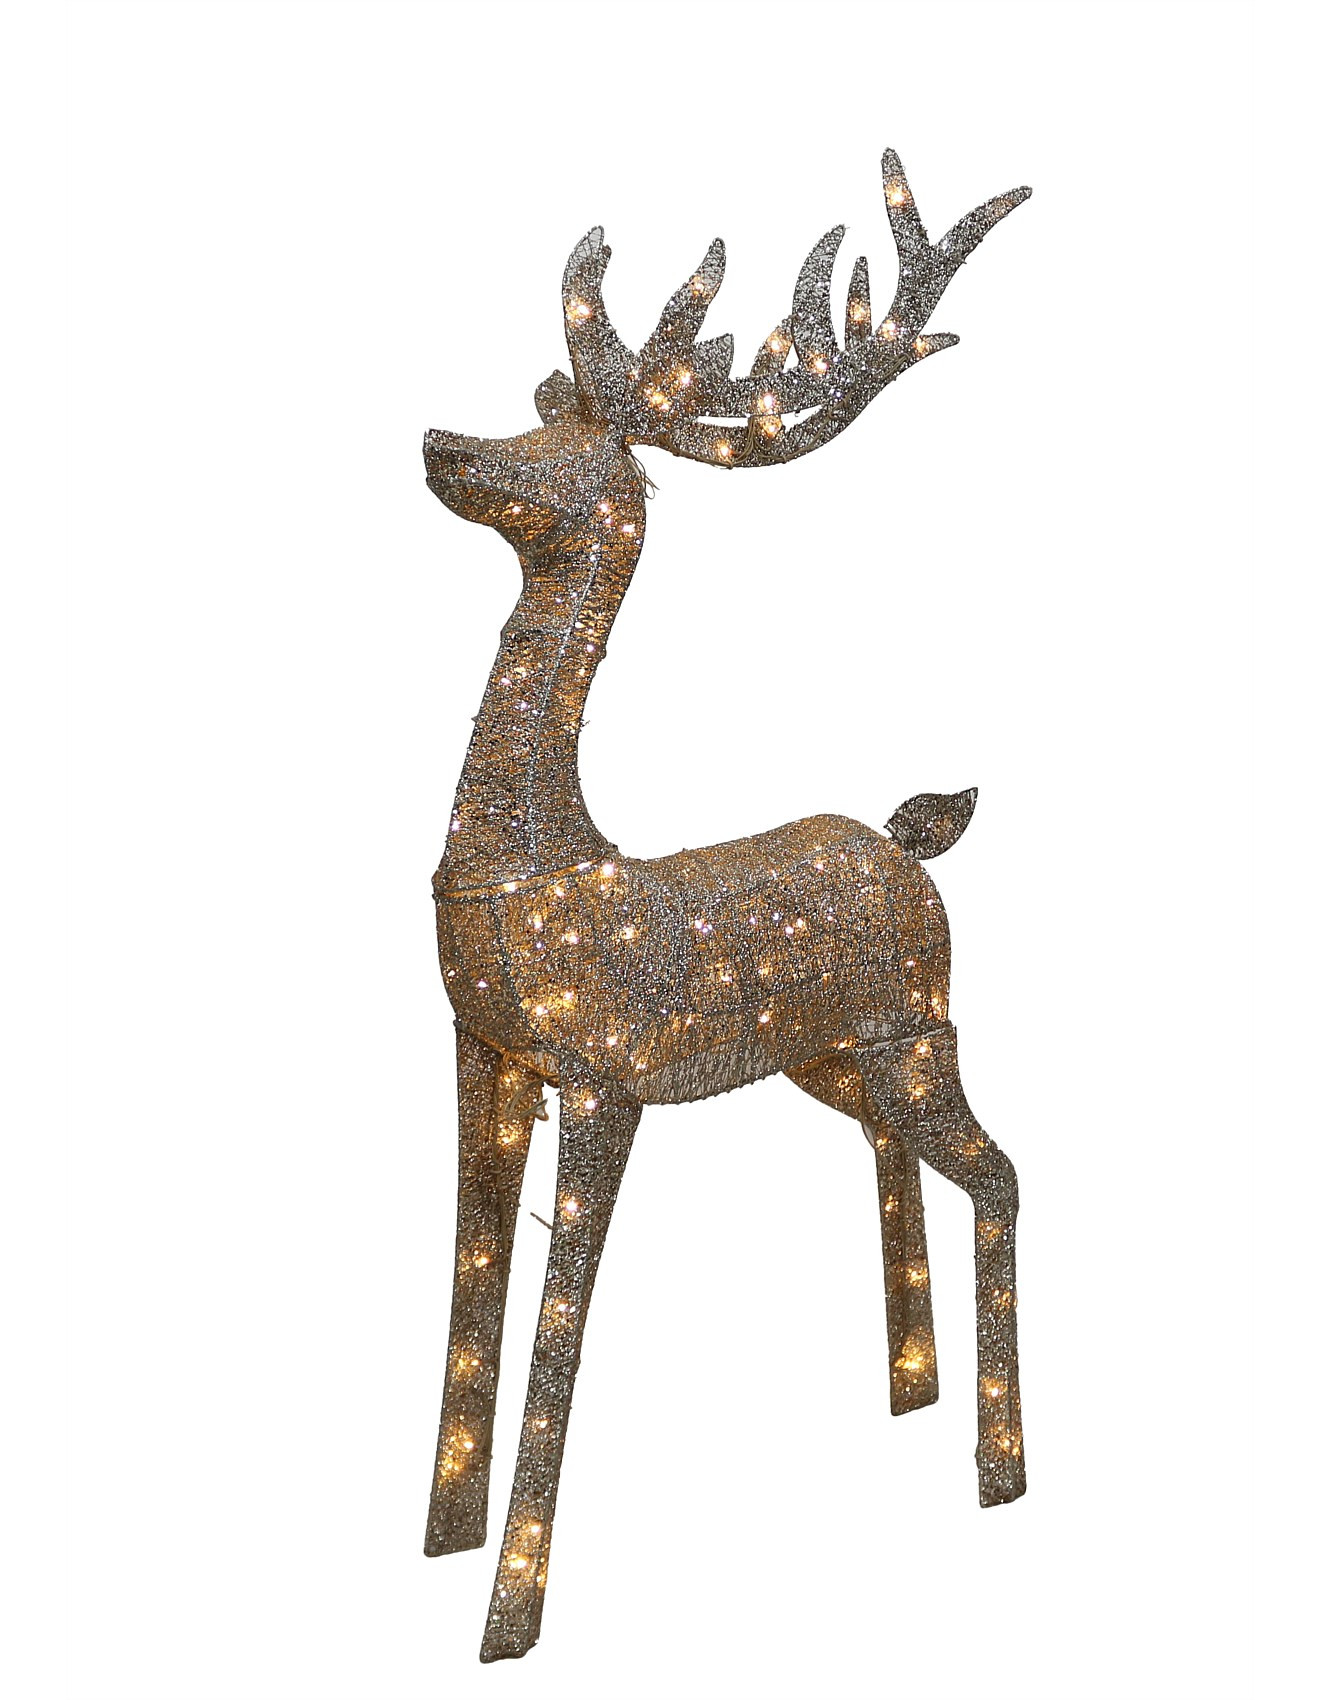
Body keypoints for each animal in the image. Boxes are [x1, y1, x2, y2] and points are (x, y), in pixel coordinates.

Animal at [421, 149, 1032, 1662]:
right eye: (531, 410)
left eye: (571, 459)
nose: (442, 444)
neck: (536, 869)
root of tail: (908, 842)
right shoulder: (480, 1049)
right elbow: (472, 1283)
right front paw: (441, 1540)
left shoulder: (608, 1074)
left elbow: (558, 1322)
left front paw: (510, 1620)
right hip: (835, 1056)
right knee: (900, 1160)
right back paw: (910, 1390)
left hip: (923, 1031)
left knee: (1005, 1173)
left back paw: (998, 1468)